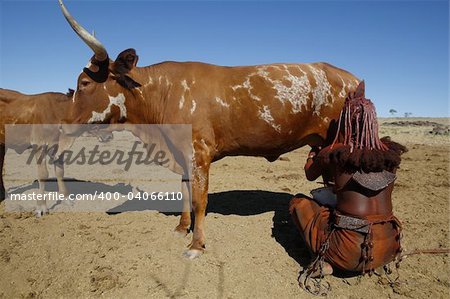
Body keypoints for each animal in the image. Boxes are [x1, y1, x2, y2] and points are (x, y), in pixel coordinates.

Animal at [59, 0, 358, 258]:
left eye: (84, 82)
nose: (62, 124)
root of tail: (349, 77)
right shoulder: (181, 154)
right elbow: (184, 191)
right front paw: (181, 228)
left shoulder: (199, 153)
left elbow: (199, 200)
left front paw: (196, 244)